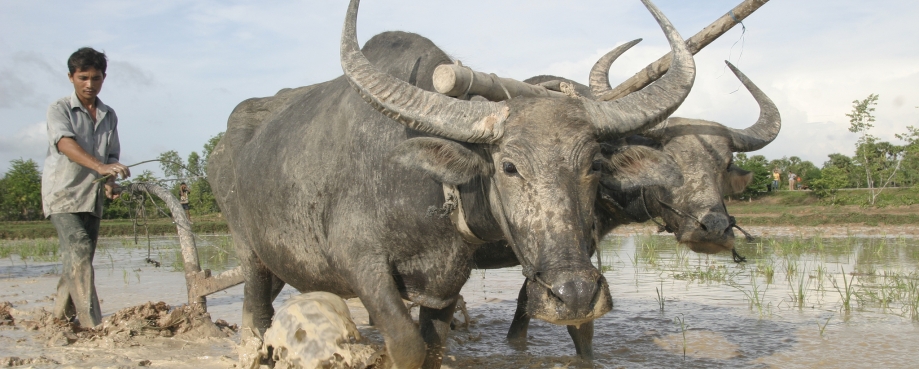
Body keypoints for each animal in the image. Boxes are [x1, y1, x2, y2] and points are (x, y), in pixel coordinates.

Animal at [210, 0, 696, 366]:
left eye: (594, 163)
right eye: (508, 167)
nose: (574, 294)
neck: (427, 189)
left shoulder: (444, 288)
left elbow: (433, 346)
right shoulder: (364, 268)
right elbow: (406, 345)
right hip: (249, 254)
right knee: (255, 316)